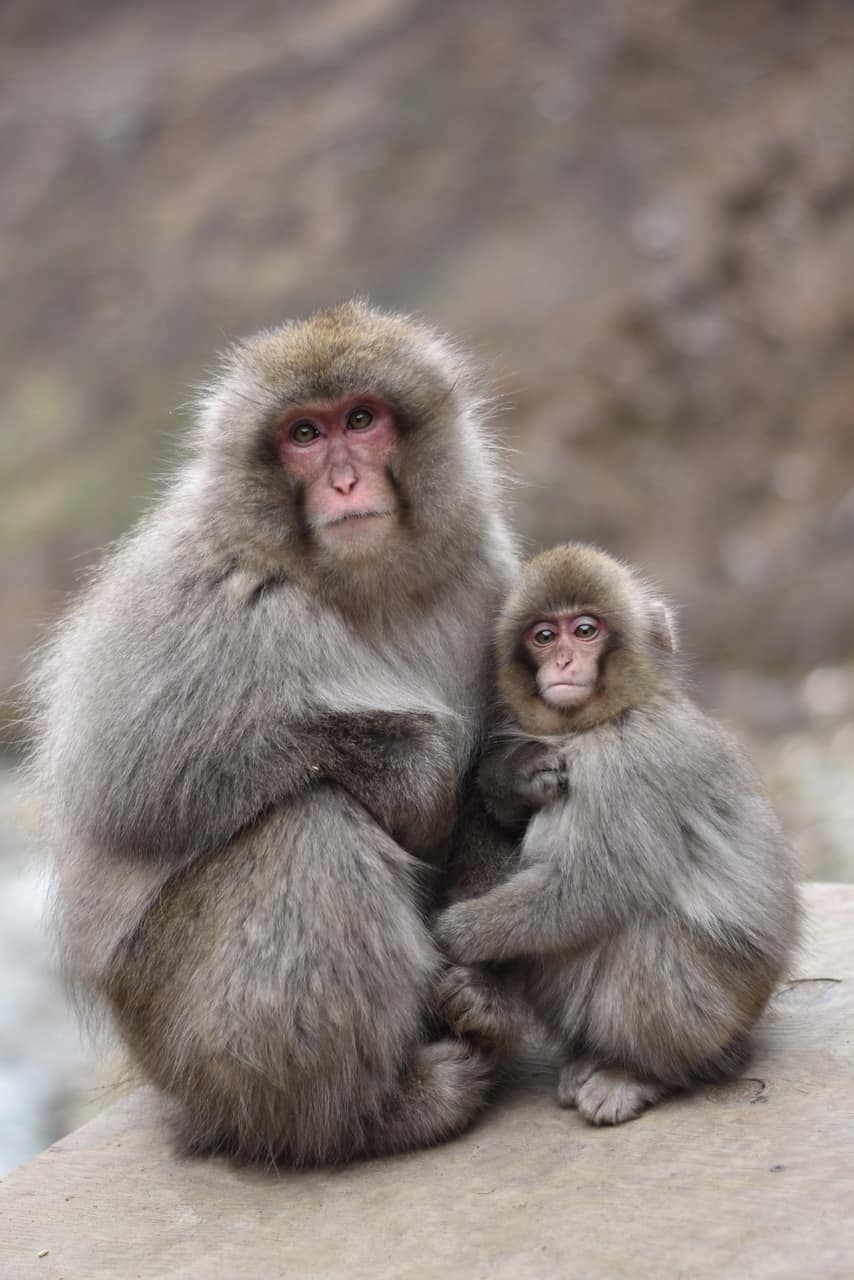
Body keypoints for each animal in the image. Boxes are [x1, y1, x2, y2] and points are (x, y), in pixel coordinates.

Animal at [26, 299, 519, 1165]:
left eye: (361, 419)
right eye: (304, 435)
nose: (345, 480)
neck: (359, 585)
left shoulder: (486, 575)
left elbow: (506, 764)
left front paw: (489, 989)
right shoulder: (202, 586)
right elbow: (129, 778)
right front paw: (417, 771)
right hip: (179, 1036)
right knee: (305, 823)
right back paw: (367, 1115)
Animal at [434, 544, 801, 1125]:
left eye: (585, 630)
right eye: (544, 635)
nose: (563, 662)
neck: (602, 720)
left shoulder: (626, 766)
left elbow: (591, 889)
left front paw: (456, 932)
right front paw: (513, 776)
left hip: (716, 1013)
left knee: (639, 930)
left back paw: (639, 1072)